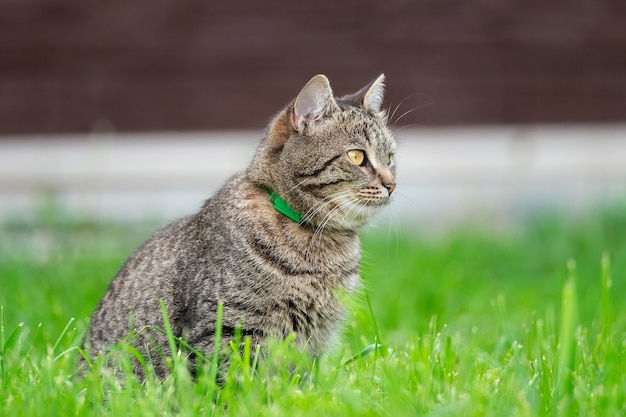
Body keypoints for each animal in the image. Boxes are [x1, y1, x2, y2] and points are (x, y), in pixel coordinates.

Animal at [88, 73, 394, 376]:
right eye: (356, 156)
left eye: (390, 157)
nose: (392, 184)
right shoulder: (228, 329)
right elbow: (233, 382)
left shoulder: (315, 340)